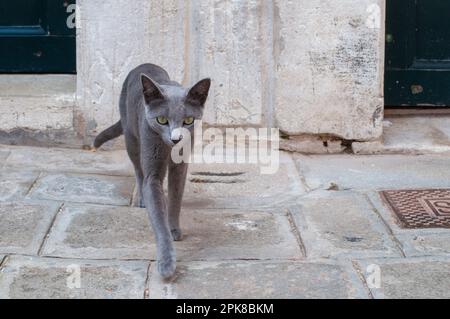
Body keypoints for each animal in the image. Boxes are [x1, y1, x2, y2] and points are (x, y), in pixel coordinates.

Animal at [92, 63, 211, 278]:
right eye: (162, 119)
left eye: (188, 120)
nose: (176, 139)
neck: (168, 150)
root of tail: (143, 65)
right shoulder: (152, 170)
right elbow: (157, 215)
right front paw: (166, 263)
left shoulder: (181, 166)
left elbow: (176, 197)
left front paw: (174, 229)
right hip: (131, 137)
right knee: (139, 171)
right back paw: (141, 199)